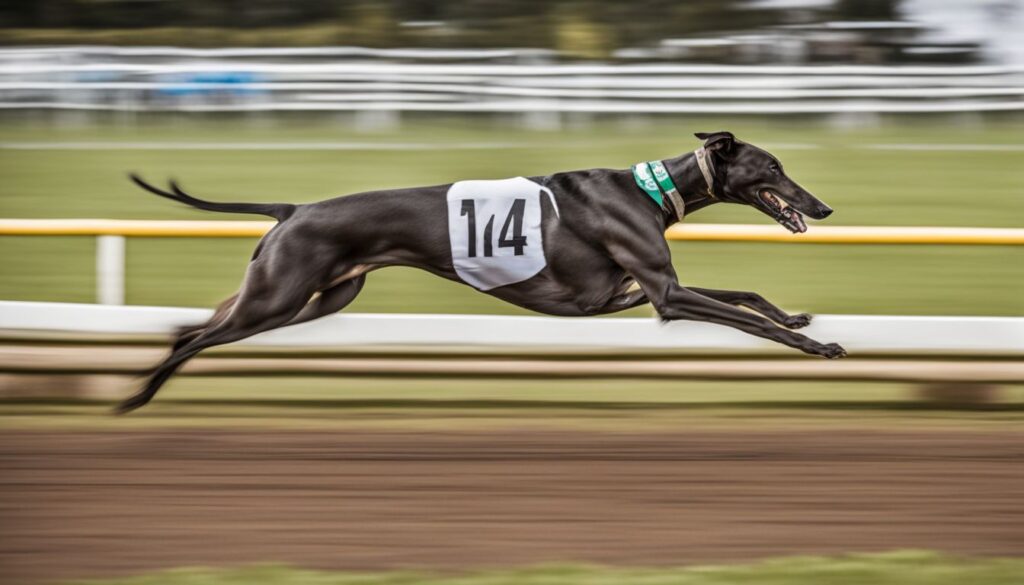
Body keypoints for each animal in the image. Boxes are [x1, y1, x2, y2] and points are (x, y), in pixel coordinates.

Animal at [119, 130, 843, 413]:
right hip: (279, 297)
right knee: (194, 338)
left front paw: (800, 316)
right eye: (773, 167)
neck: (651, 188)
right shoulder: (664, 294)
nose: (824, 207)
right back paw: (135, 396)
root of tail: (293, 209)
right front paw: (818, 346)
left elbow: (748, 295)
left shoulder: (636, 293)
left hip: (313, 297)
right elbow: (750, 319)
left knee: (189, 326)